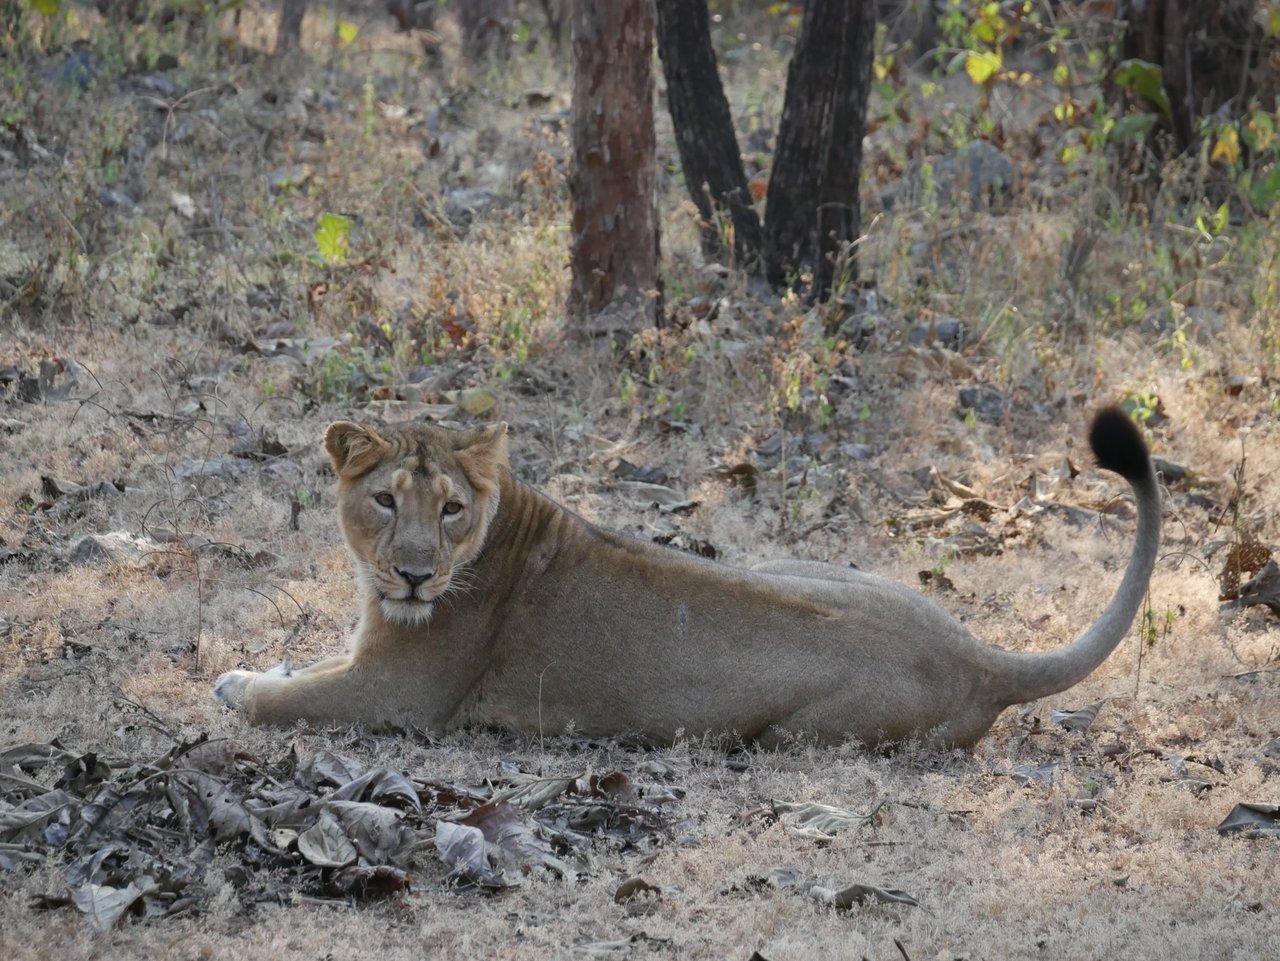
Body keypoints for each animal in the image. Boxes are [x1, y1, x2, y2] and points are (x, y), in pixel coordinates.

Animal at [217, 406, 1162, 752]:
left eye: (449, 508)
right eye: (384, 499)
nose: (414, 575)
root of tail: (980, 657)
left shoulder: (400, 697)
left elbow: (287, 700)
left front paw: (236, 689)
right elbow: (303, 664)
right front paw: (255, 666)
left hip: (804, 733)